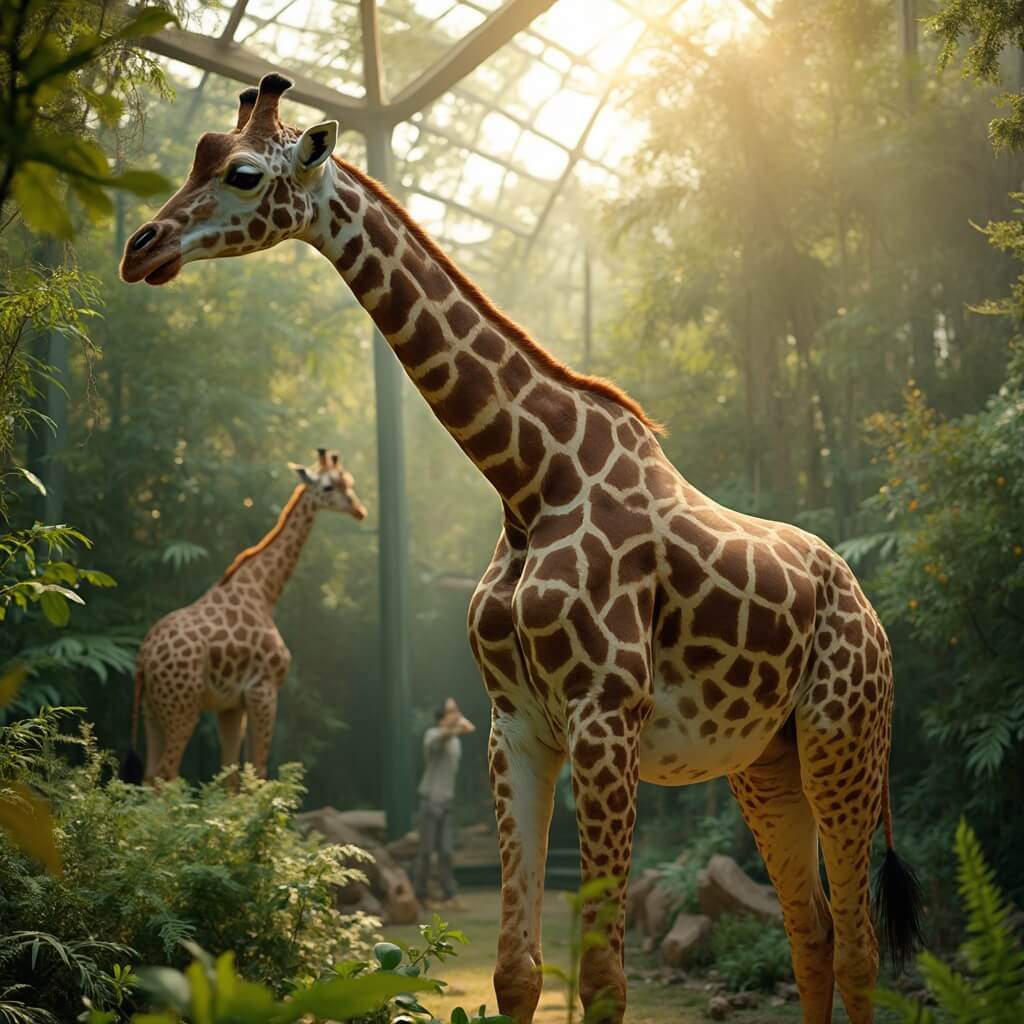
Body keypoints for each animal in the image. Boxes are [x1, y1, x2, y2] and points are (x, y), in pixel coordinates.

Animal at [125, 448, 367, 784]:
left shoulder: (231, 704)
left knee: (148, 777)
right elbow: (259, 772)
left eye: (349, 483)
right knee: (165, 775)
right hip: (182, 708)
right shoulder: (263, 689)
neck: (264, 590)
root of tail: (144, 659)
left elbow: (230, 775)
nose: (359, 510)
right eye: (329, 487)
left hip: (152, 710)